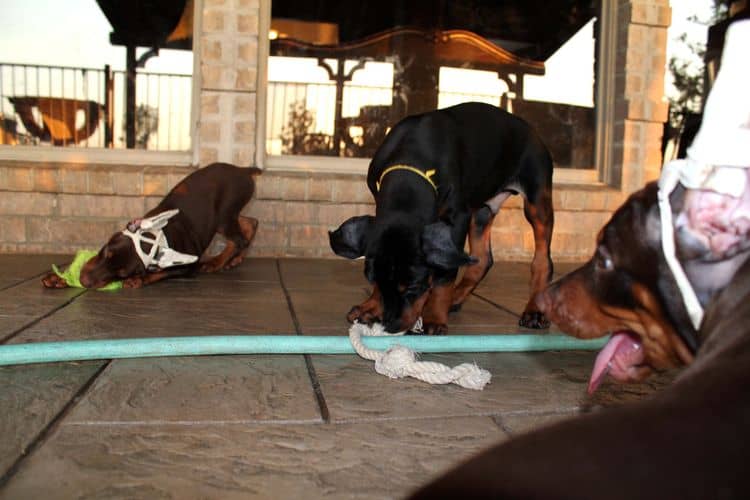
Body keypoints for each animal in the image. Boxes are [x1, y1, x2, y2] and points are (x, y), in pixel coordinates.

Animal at [44, 163, 262, 290]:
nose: (84, 281)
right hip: (225, 218)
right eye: (106, 252)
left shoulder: (188, 266)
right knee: (249, 223)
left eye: (122, 273)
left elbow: (159, 273)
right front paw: (58, 278)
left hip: (224, 214)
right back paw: (234, 259)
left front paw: (138, 280)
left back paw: (217, 262)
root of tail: (244, 170)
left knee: (239, 239)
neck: (156, 238)